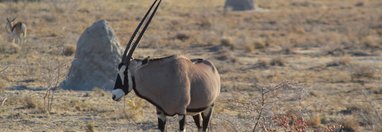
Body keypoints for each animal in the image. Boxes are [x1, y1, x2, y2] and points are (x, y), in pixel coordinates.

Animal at [111, 0, 221, 131]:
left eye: (125, 72)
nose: (114, 95)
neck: (164, 78)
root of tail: (212, 67)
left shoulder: (181, 113)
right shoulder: (161, 113)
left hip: (209, 108)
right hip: (196, 112)